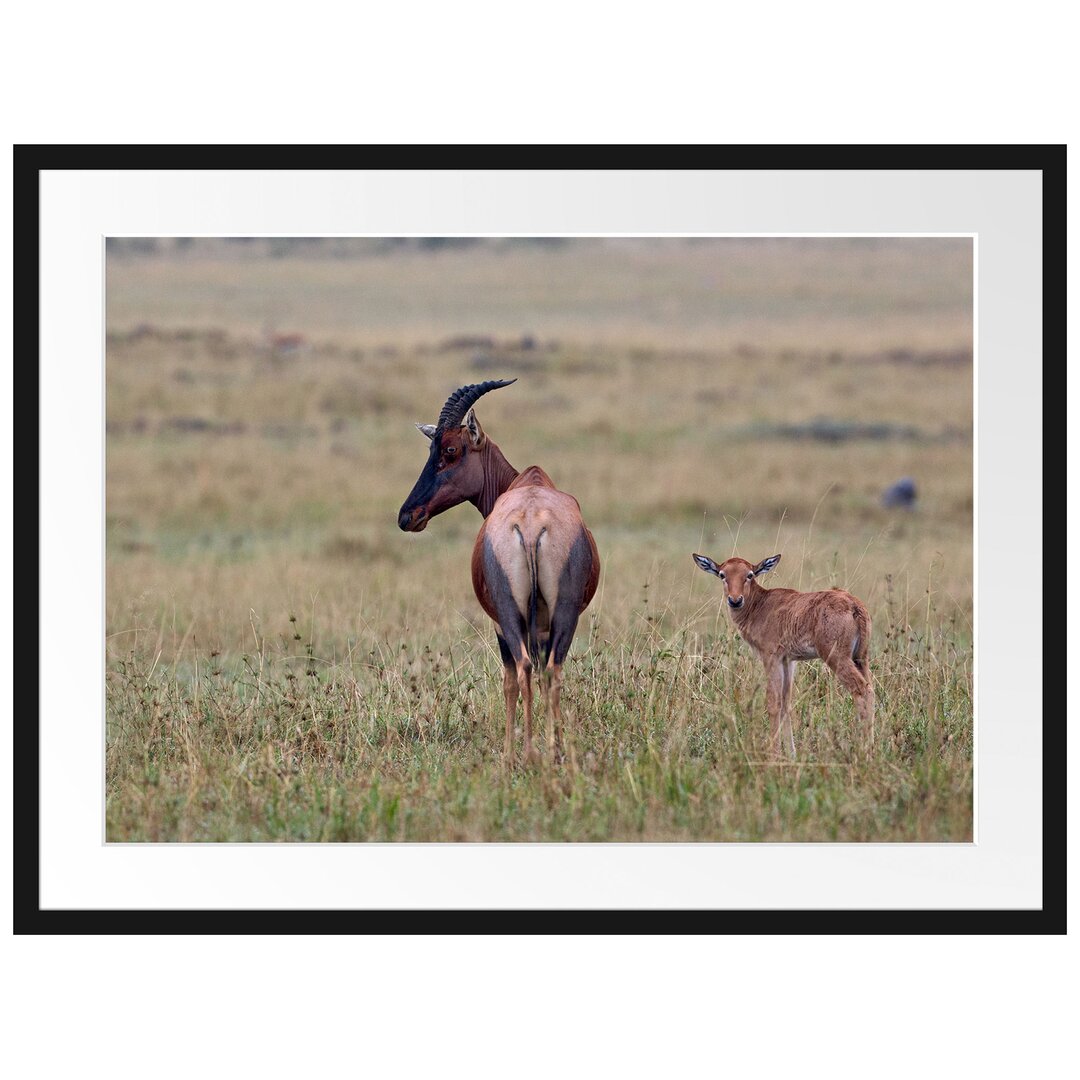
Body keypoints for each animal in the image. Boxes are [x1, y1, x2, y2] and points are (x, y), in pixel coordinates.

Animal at [399, 384, 604, 764]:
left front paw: (509, 751)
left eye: (451, 449)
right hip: (564, 614)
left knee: (522, 670)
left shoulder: (498, 622)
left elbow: (508, 680)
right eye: (432, 448)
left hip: (512, 613)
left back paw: (525, 753)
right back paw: (549, 751)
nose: (408, 515)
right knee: (550, 671)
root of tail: (531, 521)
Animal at [691, 552, 876, 756]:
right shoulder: (788, 661)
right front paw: (791, 753)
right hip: (860, 658)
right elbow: (786, 703)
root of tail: (854, 605)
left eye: (749, 575)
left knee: (862, 690)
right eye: (723, 574)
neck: (761, 604)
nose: (735, 600)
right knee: (871, 689)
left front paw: (774, 752)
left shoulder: (771, 658)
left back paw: (865, 750)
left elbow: (774, 703)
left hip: (837, 658)